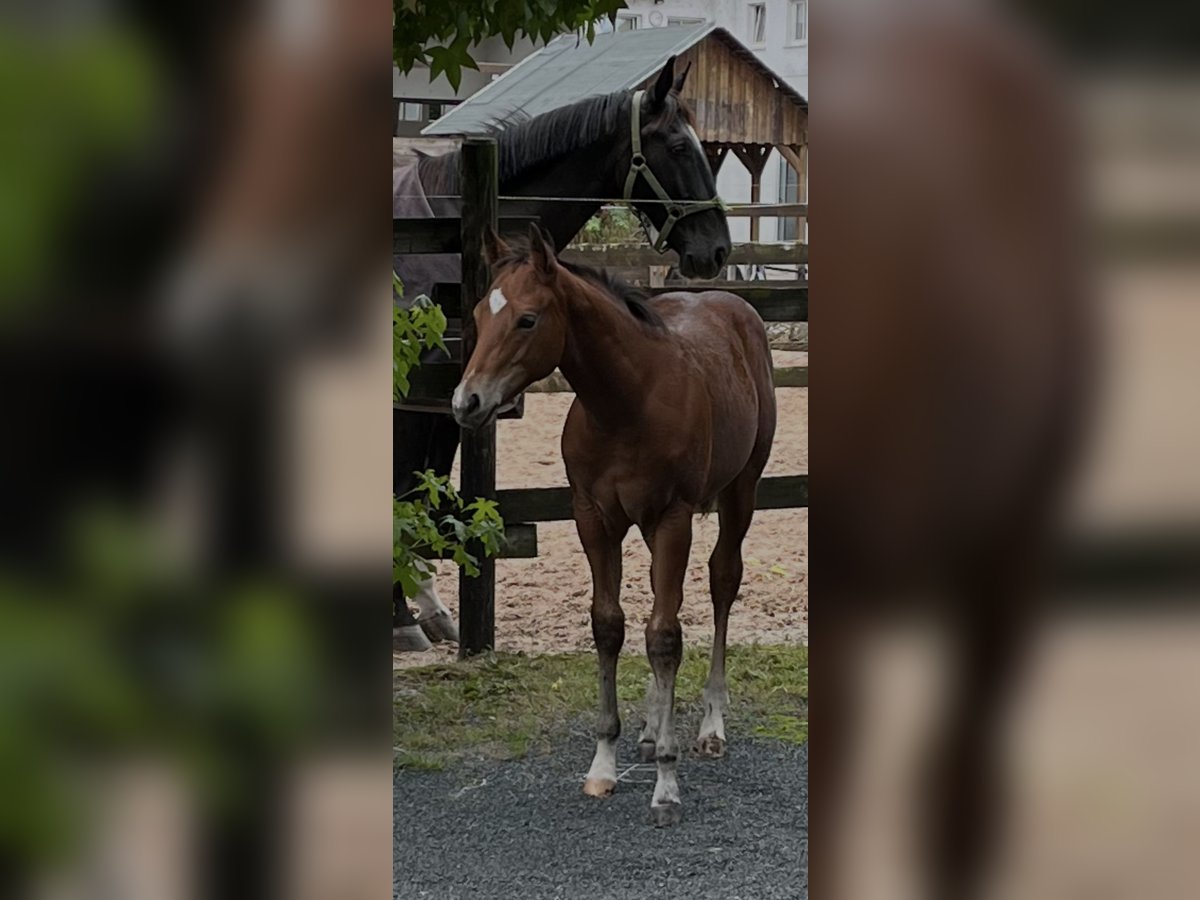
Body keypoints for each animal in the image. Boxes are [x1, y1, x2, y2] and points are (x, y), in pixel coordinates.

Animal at [393, 54, 729, 648]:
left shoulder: (448, 398)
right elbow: (400, 485)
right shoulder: (415, 396)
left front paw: (430, 607)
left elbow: (423, 488)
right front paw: (401, 619)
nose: (716, 248)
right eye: (679, 146)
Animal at [451, 226, 777, 830]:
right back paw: (650, 729)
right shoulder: (593, 517)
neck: (628, 403)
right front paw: (604, 762)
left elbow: (665, 636)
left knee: (722, 582)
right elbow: (611, 626)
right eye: (481, 314)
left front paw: (667, 785)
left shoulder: (673, 517)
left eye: (527, 319)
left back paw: (710, 727)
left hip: (742, 489)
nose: (467, 402)